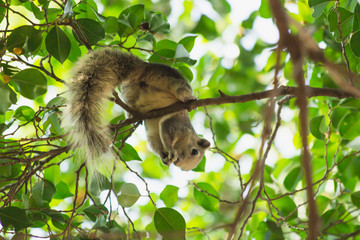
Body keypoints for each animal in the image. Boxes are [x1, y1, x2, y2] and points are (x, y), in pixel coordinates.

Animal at [60, 48, 210, 171]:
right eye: (195, 151)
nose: (178, 161)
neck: (189, 134)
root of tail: (145, 67)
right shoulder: (176, 123)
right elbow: (167, 130)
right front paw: (171, 151)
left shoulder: (154, 133)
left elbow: (154, 142)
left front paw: (164, 156)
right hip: (168, 80)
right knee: (179, 89)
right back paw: (188, 98)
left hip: (130, 91)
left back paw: (131, 114)